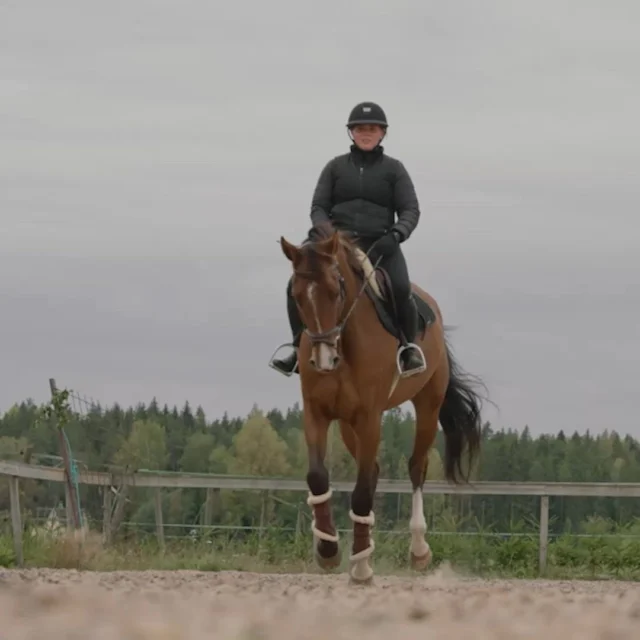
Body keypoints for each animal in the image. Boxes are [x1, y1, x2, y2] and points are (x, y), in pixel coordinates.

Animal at [277, 224, 485, 584]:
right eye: (298, 297)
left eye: (336, 290)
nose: (323, 359)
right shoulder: (317, 413)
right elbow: (318, 477)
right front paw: (328, 548)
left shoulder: (370, 417)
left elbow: (361, 491)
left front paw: (355, 560)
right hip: (348, 424)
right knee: (373, 469)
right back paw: (362, 556)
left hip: (427, 407)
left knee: (416, 467)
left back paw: (417, 550)